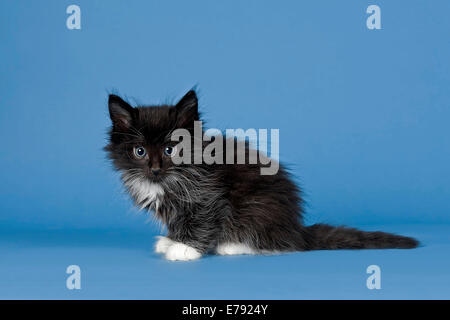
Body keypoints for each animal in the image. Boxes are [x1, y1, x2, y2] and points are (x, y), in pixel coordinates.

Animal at [104, 89, 418, 260]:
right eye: (140, 152)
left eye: (171, 149)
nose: (155, 168)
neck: (168, 179)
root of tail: (295, 228)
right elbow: (178, 220)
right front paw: (173, 240)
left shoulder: (208, 195)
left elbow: (202, 220)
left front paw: (185, 249)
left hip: (257, 206)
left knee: (279, 245)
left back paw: (233, 245)